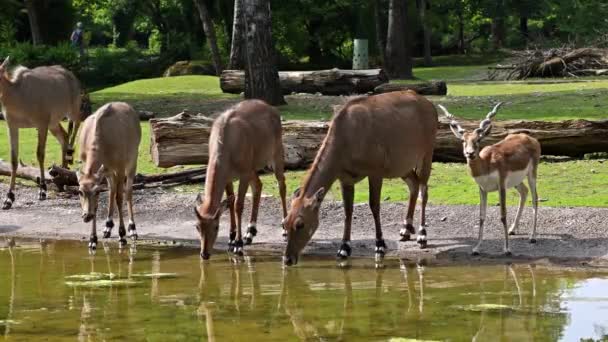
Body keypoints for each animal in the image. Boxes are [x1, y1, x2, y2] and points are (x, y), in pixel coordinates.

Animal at [0, 56, 83, 210]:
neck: (17, 94)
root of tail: (70, 75)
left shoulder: (41, 124)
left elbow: (40, 154)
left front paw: (42, 190)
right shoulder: (12, 126)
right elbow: (13, 160)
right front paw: (9, 199)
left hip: (71, 110)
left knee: (78, 122)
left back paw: (69, 156)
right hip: (53, 123)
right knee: (64, 136)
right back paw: (63, 172)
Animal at [76, 101, 141, 248]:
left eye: (96, 191)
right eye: (80, 192)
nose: (87, 216)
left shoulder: (120, 167)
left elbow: (119, 198)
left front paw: (122, 235)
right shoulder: (101, 168)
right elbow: (99, 203)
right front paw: (92, 239)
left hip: (132, 161)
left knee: (127, 191)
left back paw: (132, 229)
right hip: (109, 172)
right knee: (112, 190)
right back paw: (108, 226)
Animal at [195, 100, 290, 260]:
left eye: (216, 226)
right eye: (197, 226)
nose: (204, 254)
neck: (227, 141)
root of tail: (271, 109)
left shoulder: (243, 175)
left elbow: (238, 206)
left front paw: (238, 244)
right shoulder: (228, 177)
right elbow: (230, 202)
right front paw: (231, 239)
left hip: (276, 155)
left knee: (281, 186)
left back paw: (284, 230)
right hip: (253, 168)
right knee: (258, 185)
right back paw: (250, 233)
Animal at [282, 90, 440, 264]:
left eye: (300, 224)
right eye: (284, 224)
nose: (288, 259)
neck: (345, 139)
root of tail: (429, 105)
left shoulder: (375, 172)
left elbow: (374, 206)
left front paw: (380, 245)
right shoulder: (345, 178)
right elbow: (347, 211)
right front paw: (344, 248)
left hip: (426, 153)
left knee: (424, 191)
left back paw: (422, 236)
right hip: (402, 165)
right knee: (413, 184)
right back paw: (405, 230)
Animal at [436, 103, 540, 255]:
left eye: (478, 140)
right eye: (463, 140)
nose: (470, 153)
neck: (486, 164)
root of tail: (530, 138)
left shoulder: (501, 185)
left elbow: (503, 215)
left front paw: (507, 249)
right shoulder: (482, 189)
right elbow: (481, 216)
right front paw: (476, 248)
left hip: (532, 174)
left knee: (535, 198)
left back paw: (532, 237)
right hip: (516, 181)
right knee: (524, 192)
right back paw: (513, 230)